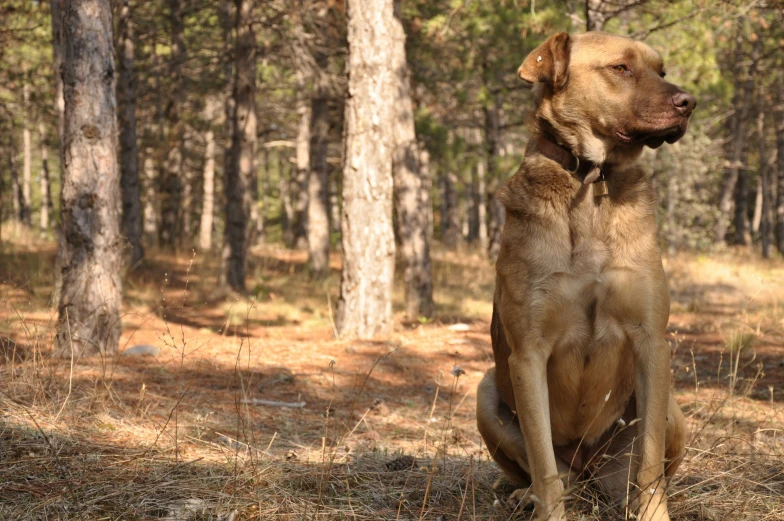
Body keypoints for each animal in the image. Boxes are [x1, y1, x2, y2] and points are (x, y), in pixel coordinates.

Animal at [474, 31, 696, 520]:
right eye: (620, 68)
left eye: (662, 71)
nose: (690, 102)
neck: (593, 184)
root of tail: (589, 466)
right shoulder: (528, 355)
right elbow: (544, 466)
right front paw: (546, 506)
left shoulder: (652, 342)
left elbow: (650, 464)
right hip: (485, 394)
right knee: (552, 475)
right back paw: (525, 495)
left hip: (670, 409)